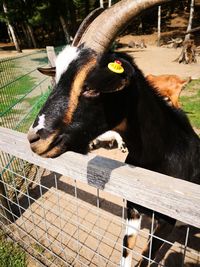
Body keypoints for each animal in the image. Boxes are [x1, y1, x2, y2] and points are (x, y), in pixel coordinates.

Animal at [27, 1, 200, 266]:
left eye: (90, 87)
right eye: (56, 79)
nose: (34, 138)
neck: (161, 156)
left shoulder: (166, 222)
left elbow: (146, 257)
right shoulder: (132, 207)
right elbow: (127, 251)